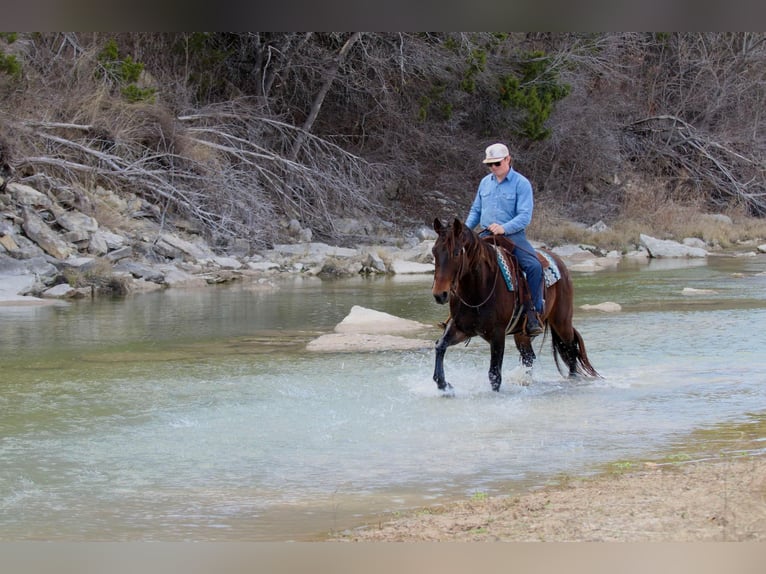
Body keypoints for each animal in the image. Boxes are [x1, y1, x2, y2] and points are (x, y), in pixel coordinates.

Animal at [431, 217, 599, 393]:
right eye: (434, 252)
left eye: (456, 253)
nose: (440, 294)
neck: (478, 290)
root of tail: (559, 262)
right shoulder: (461, 328)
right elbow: (440, 346)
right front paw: (443, 384)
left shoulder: (497, 334)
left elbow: (495, 375)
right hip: (522, 333)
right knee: (529, 357)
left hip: (561, 321)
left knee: (570, 350)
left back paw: (573, 380)